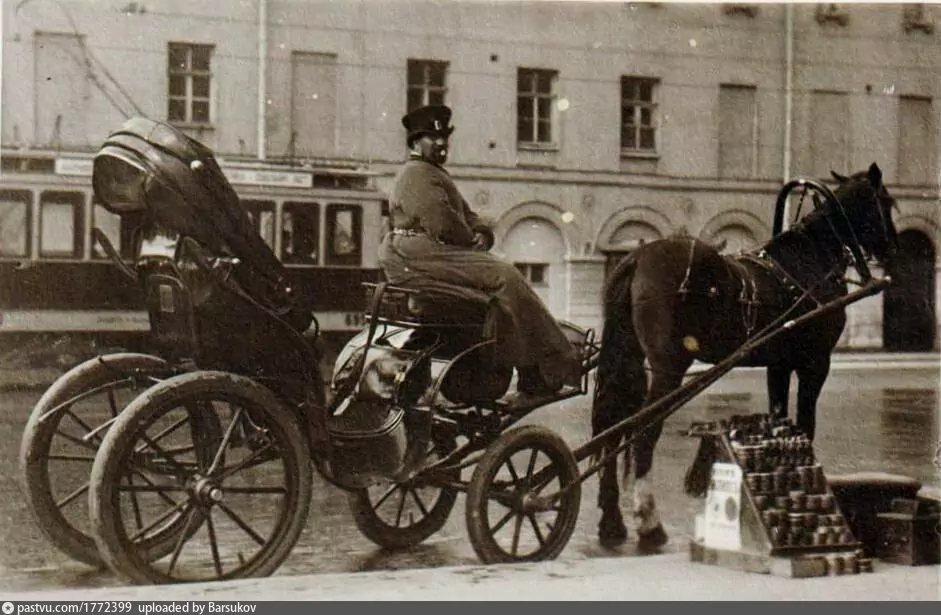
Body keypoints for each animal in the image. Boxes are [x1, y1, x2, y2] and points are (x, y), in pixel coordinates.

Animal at [596, 162, 896, 548]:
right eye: (885, 202)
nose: (893, 249)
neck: (808, 262)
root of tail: (637, 256)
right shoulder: (815, 363)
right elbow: (806, 423)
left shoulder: (778, 365)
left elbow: (781, 419)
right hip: (668, 369)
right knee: (642, 432)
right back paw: (649, 524)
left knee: (611, 427)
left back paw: (611, 523)